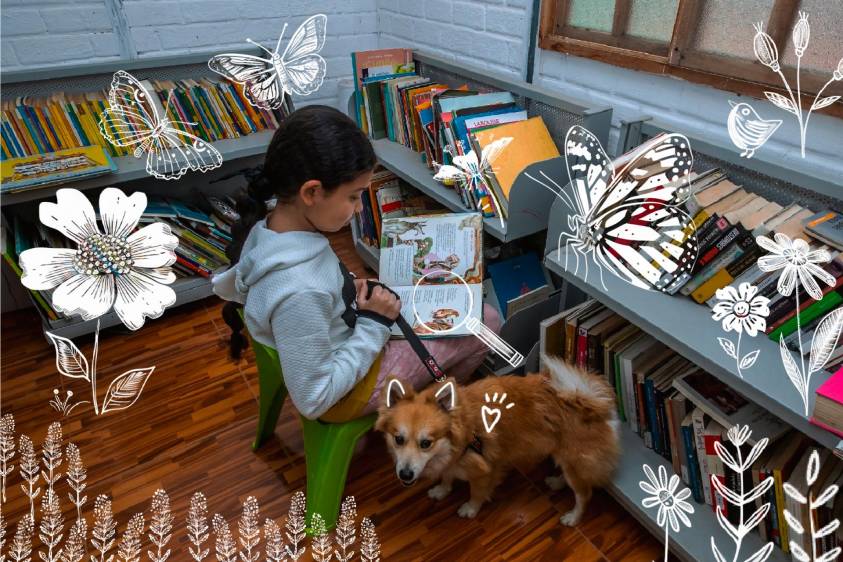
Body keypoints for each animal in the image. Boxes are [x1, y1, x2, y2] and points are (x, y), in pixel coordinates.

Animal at [376, 354, 620, 524]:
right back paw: (557, 482)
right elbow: (447, 476)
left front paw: (470, 509)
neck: (463, 437)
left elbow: (477, 493)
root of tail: (590, 403)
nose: (405, 474)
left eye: (426, 443)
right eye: (398, 439)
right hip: (566, 459)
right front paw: (442, 490)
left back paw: (573, 517)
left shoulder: (484, 470)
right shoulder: (451, 462)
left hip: (574, 462)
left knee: (584, 494)